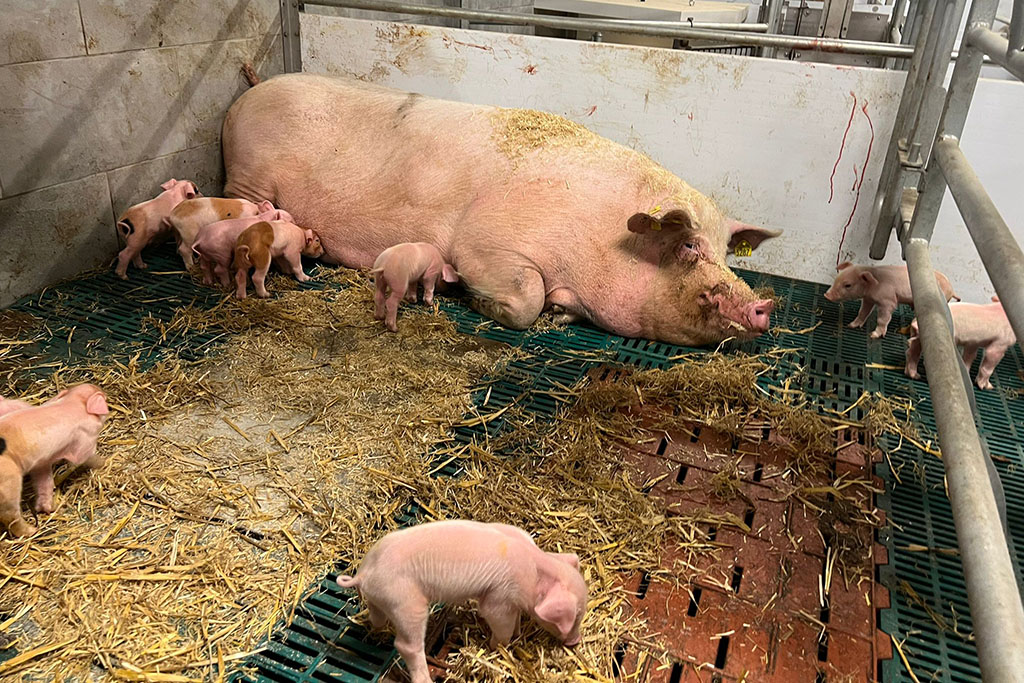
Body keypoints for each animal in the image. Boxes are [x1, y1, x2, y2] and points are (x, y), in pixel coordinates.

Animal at [0, 384, 109, 537]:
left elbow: (44, 482)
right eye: (104, 398)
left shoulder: (41, 462)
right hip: (9, 483)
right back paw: (32, 530)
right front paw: (105, 461)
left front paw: (47, 508)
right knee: (10, 516)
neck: (74, 403)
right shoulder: (85, 441)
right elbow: (84, 458)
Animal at [221, 74, 782, 346]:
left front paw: (560, 309)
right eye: (688, 245)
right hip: (247, 180)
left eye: (727, 257)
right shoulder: (486, 243)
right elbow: (525, 299)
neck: (601, 238)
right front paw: (471, 296)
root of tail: (243, 98)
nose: (763, 306)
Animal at [338, 520, 587, 683]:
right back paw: (425, 679)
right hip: (406, 603)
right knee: (406, 646)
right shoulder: (499, 599)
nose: (576, 641)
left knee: (376, 616)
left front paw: (516, 634)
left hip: (382, 598)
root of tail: (364, 573)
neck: (534, 572)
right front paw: (496, 647)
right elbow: (499, 624)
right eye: (574, 616)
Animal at [824, 262, 959, 339]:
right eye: (837, 278)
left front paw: (873, 335)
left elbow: (882, 319)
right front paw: (851, 325)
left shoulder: (888, 301)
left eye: (848, 285)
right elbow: (862, 312)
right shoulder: (868, 299)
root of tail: (952, 289)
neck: (873, 286)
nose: (826, 295)